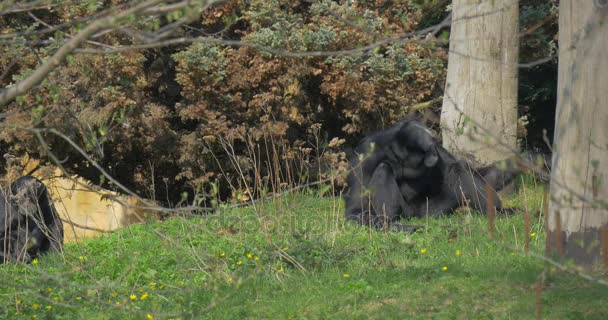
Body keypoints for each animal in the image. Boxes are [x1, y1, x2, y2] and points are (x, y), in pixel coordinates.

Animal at [344, 117, 516, 230]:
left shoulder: (437, 148)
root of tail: (416, 214)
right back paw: (391, 223)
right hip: (408, 212)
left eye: (432, 147)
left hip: (433, 211)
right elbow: (355, 211)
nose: (432, 156)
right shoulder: (366, 153)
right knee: (383, 168)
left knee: (457, 168)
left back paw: (498, 212)